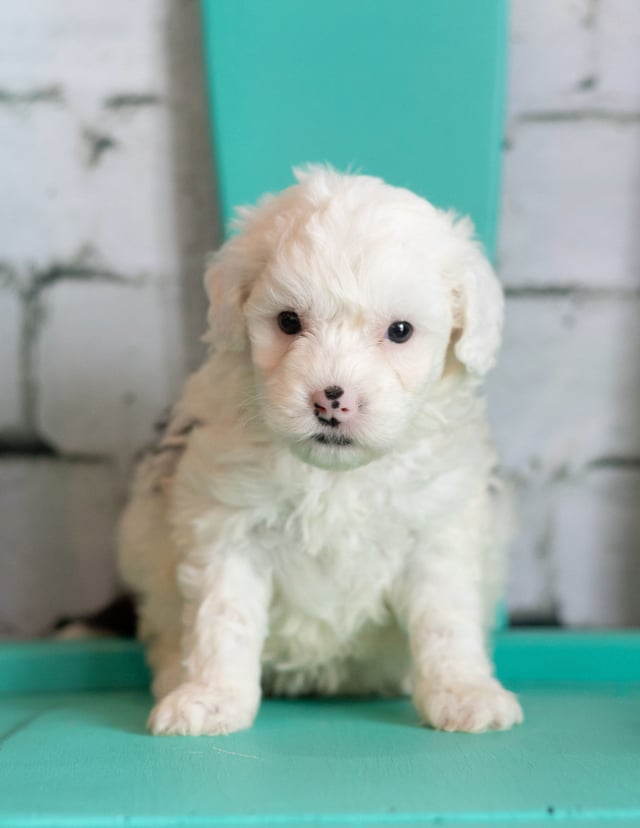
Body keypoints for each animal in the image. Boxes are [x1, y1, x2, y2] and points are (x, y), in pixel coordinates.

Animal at [117, 165, 524, 736]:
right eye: (288, 322)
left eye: (400, 331)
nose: (332, 399)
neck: (338, 475)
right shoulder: (229, 526)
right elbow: (223, 616)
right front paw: (212, 697)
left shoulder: (436, 530)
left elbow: (446, 619)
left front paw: (464, 693)